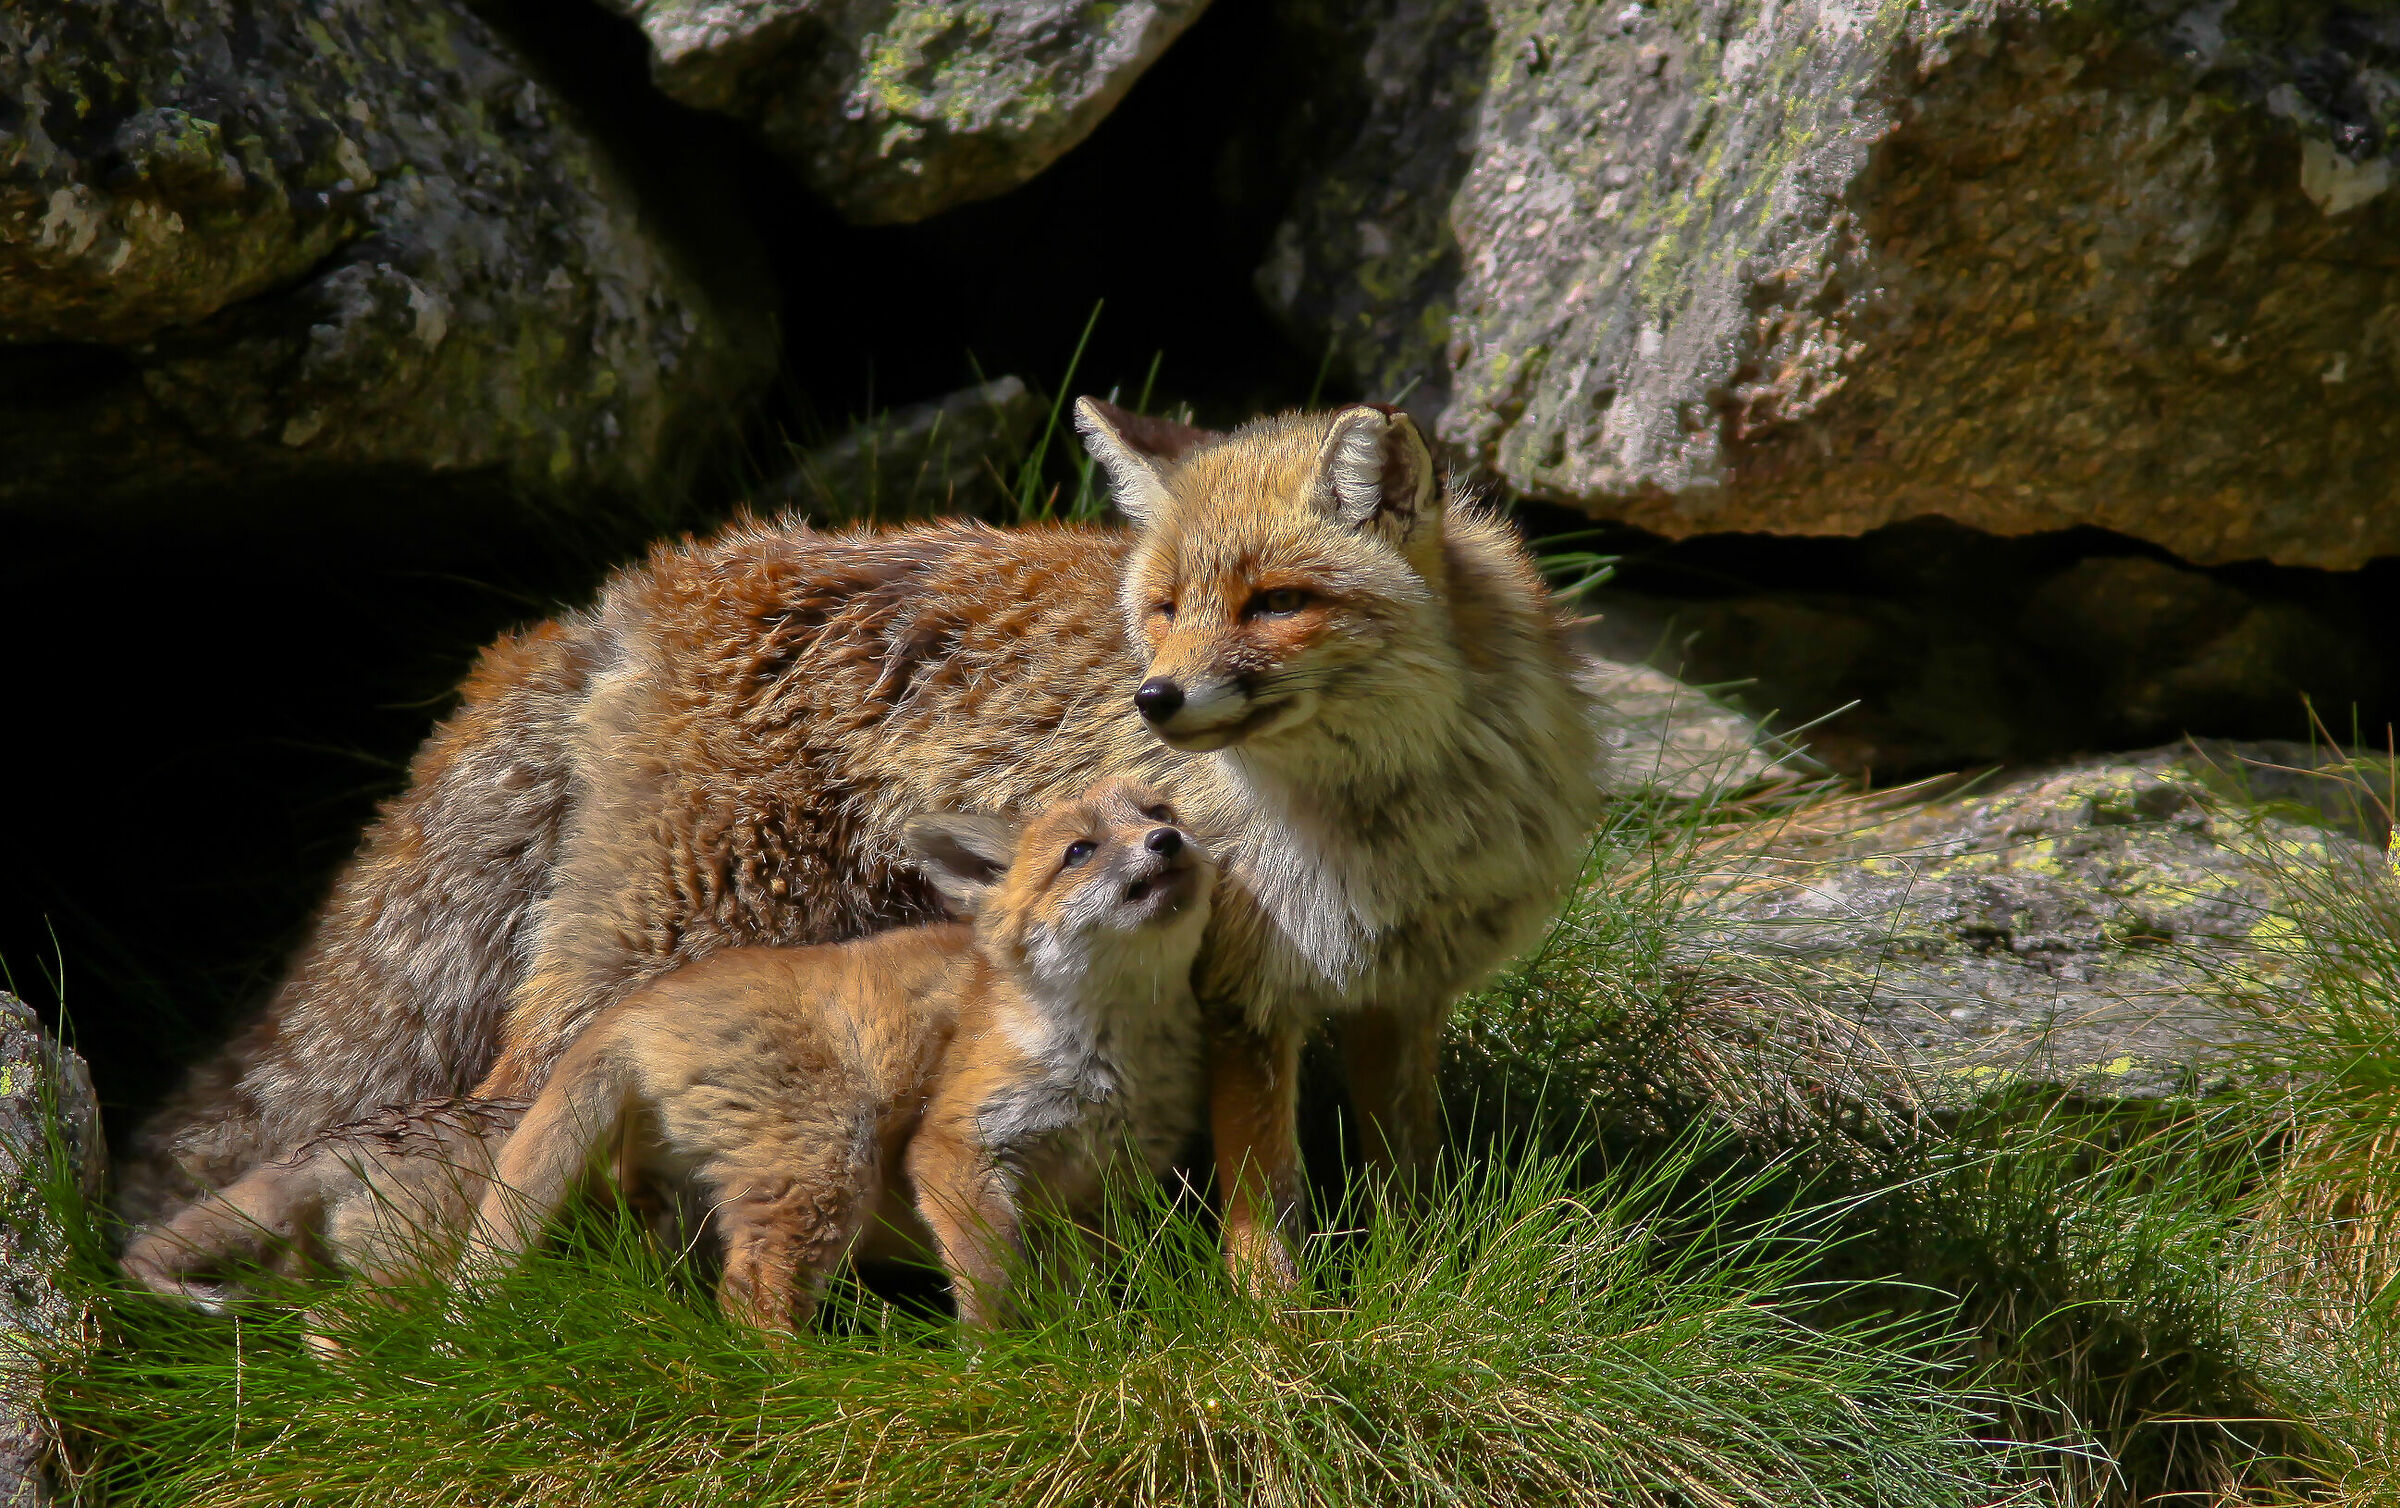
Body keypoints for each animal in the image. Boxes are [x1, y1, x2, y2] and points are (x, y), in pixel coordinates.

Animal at [121, 401, 1603, 1287]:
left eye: (1275, 603)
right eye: (1164, 608)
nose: (1155, 703)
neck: (1381, 825)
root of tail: (641, 584)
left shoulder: (1401, 992)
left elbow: (1406, 1167)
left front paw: (1415, 1275)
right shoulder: (1250, 995)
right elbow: (1263, 1213)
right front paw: (1277, 1335)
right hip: (673, 949)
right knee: (502, 1127)